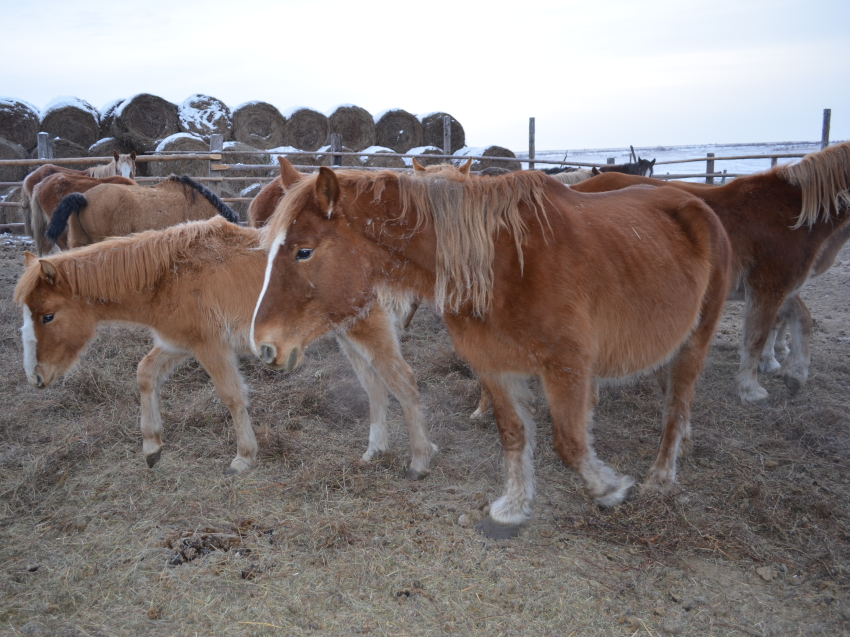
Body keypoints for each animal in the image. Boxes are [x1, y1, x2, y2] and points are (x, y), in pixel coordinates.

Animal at [14, 216, 438, 474]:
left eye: (47, 315)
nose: (36, 377)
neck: (169, 274)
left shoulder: (210, 347)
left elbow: (232, 396)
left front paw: (244, 458)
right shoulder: (178, 344)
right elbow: (144, 374)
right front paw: (152, 446)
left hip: (368, 330)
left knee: (403, 382)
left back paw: (419, 461)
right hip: (349, 337)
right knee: (375, 388)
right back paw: (374, 451)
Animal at [250, 165, 728, 536]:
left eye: (304, 251)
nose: (264, 345)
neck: (504, 265)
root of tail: (694, 202)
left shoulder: (566, 366)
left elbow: (569, 442)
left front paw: (609, 489)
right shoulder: (495, 366)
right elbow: (513, 436)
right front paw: (513, 507)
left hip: (696, 339)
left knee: (677, 403)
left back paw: (661, 477)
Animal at [568, 140, 848, 400]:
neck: (789, 211)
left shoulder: (780, 287)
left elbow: (802, 319)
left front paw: (795, 375)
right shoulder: (769, 287)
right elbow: (757, 336)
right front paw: (750, 388)